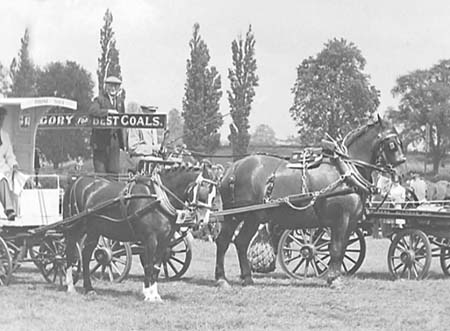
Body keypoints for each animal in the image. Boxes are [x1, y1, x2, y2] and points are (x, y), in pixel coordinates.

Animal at [64, 162, 217, 302]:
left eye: (214, 196)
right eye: (203, 190)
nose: (203, 220)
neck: (157, 198)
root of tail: (77, 181)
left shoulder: (165, 240)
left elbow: (156, 266)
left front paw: (155, 295)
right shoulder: (150, 239)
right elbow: (148, 265)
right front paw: (149, 295)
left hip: (94, 230)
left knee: (85, 255)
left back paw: (89, 288)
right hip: (75, 228)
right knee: (70, 253)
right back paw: (70, 286)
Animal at [216, 118, 406, 286]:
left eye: (399, 141)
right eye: (391, 143)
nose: (402, 166)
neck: (345, 171)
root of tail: (232, 168)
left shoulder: (351, 222)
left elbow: (342, 249)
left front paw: (336, 276)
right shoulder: (340, 219)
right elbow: (335, 248)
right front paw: (333, 280)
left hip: (247, 217)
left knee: (237, 242)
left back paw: (245, 278)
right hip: (242, 216)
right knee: (227, 241)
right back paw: (222, 279)